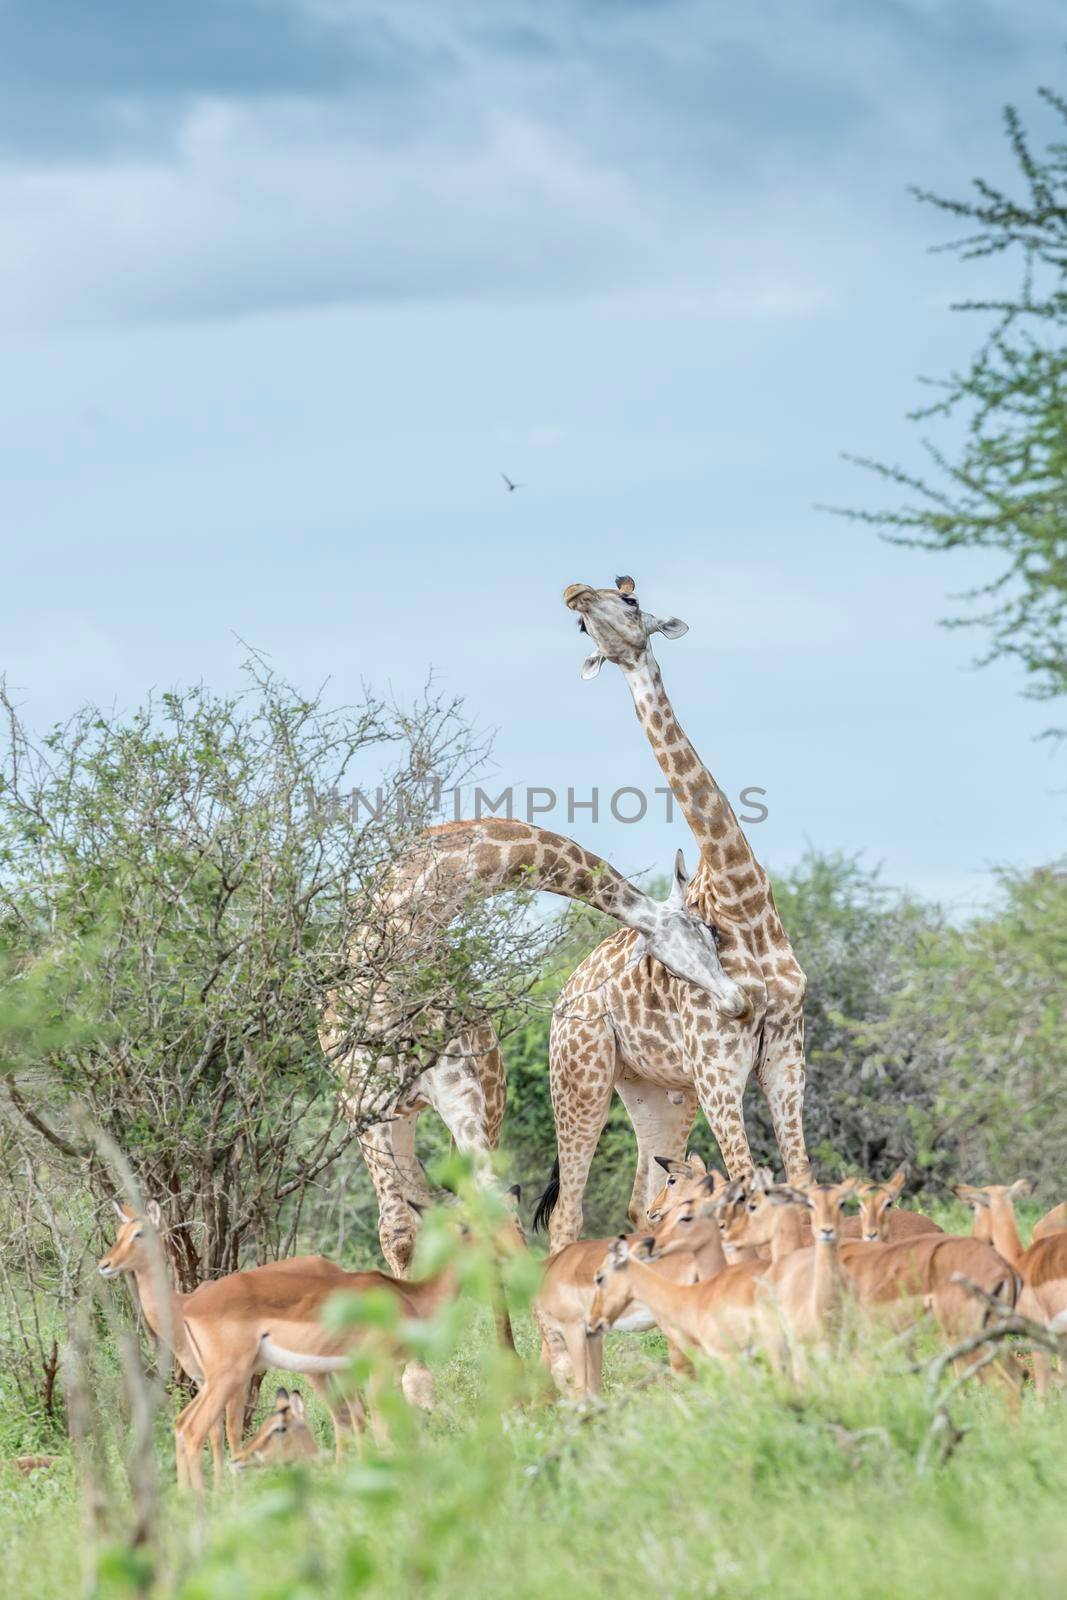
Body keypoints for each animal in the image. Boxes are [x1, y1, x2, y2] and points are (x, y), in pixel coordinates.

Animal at [315, 812, 742, 1273]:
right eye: (675, 961)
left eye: (712, 932)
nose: (735, 999)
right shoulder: (365, 1104)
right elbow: (397, 1233)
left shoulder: (460, 1094)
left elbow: (495, 1210)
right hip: (390, 1117)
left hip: (482, 1100)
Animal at [543, 576, 809, 1248]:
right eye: (583, 626)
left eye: (630, 601)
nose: (574, 594)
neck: (746, 906)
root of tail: (566, 992)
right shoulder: (719, 1069)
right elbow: (748, 1185)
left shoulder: (786, 1060)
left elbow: (803, 1181)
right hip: (581, 1076)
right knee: (567, 1215)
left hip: (657, 1090)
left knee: (644, 1200)